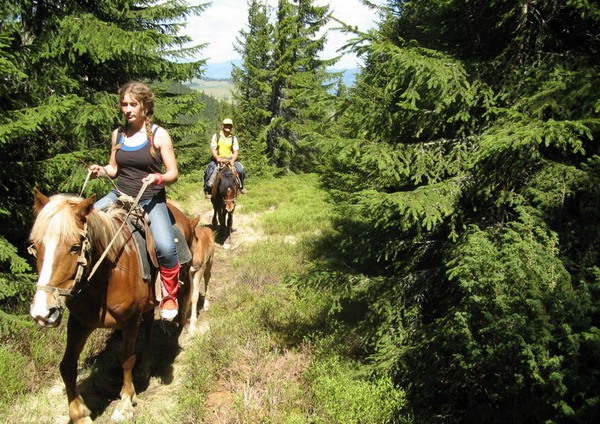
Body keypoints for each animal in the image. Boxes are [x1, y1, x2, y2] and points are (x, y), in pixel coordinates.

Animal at [28, 190, 192, 424]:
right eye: (35, 246)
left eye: (75, 247)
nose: (42, 313)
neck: (106, 277)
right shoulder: (79, 323)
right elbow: (67, 366)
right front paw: (79, 413)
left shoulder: (130, 322)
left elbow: (127, 359)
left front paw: (126, 402)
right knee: (149, 323)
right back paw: (145, 366)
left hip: (184, 276)